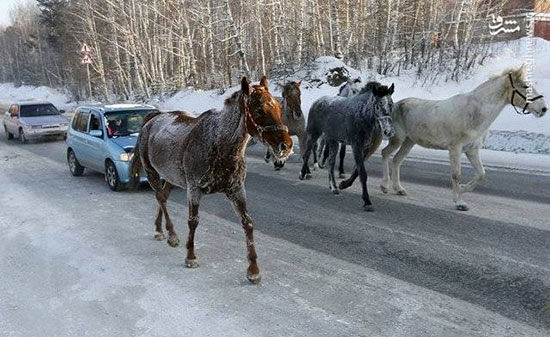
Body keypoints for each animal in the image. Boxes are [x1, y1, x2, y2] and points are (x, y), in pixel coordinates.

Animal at [130, 77, 294, 284]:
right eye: (258, 110)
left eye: (279, 108)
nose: (286, 145)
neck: (218, 145)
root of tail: (151, 120)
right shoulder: (194, 189)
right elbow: (193, 221)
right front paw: (191, 257)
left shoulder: (236, 190)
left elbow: (247, 223)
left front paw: (253, 270)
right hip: (152, 173)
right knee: (160, 198)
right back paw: (171, 235)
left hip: (171, 178)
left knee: (163, 198)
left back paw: (160, 231)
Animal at [302, 80, 396, 210]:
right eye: (378, 105)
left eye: (391, 104)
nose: (388, 131)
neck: (362, 115)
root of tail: (317, 101)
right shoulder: (356, 145)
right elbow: (362, 173)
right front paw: (367, 201)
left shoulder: (365, 148)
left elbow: (357, 171)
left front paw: (343, 184)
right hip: (314, 133)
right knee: (307, 153)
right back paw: (303, 174)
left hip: (333, 141)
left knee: (331, 163)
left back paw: (334, 187)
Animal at [384, 65, 548, 210]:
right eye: (525, 86)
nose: (544, 109)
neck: (475, 114)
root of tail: (396, 105)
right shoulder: (455, 149)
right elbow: (456, 175)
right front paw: (459, 203)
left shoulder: (472, 150)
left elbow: (481, 174)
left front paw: (462, 189)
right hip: (397, 139)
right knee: (386, 153)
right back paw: (384, 186)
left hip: (409, 142)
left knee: (396, 160)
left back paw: (398, 189)